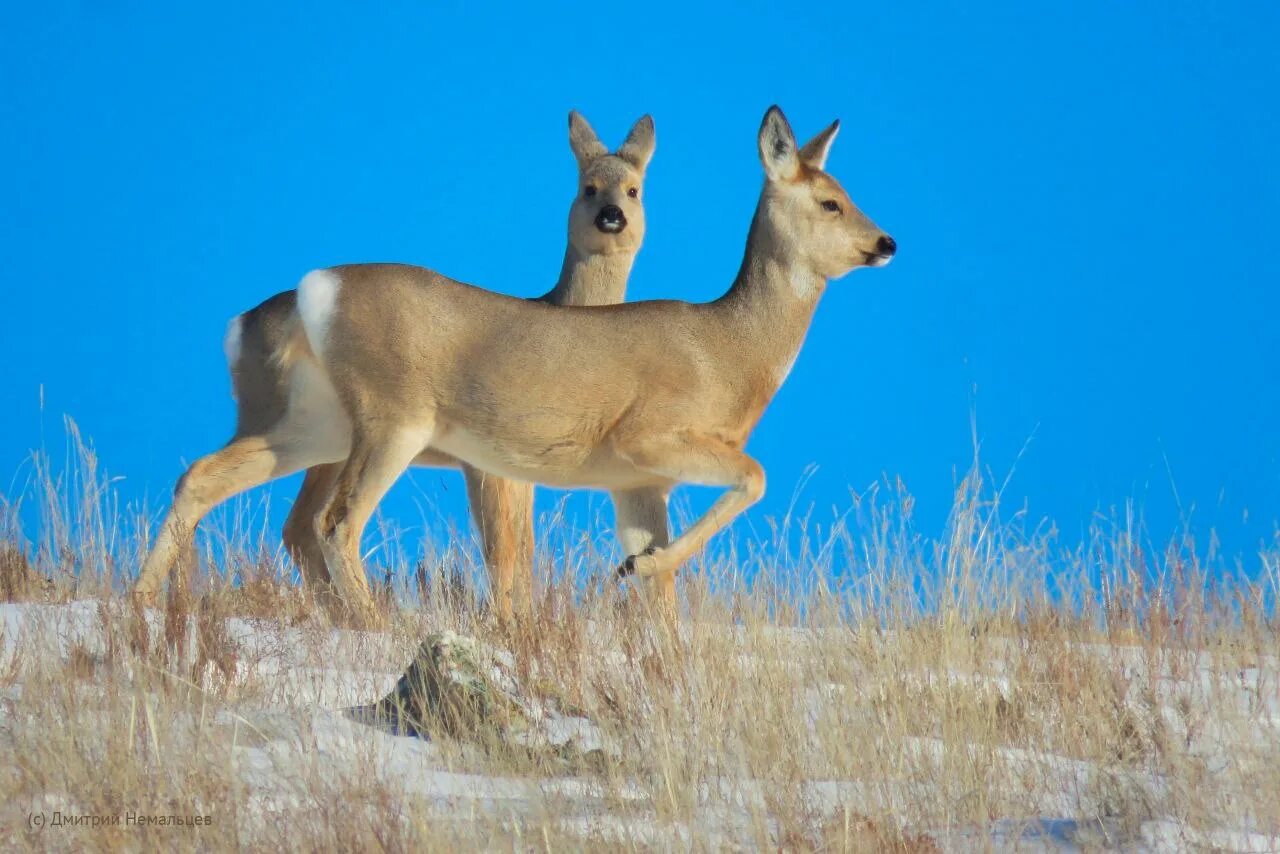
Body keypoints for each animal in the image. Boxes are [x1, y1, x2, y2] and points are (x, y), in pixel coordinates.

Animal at [132, 112, 660, 622]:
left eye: (634, 188)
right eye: (587, 186)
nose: (611, 216)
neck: (566, 308)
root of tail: (307, 296)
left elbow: (517, 548)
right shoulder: (489, 460)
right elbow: (505, 550)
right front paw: (513, 626)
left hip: (308, 426)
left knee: (217, 483)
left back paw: (143, 600)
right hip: (389, 419)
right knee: (330, 521)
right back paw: (377, 622)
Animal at [290, 108, 896, 627]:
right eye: (831, 202)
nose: (887, 242)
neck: (728, 352)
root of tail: (319, 287)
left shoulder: (639, 482)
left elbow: (664, 601)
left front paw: (647, 594)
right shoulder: (646, 433)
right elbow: (756, 476)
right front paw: (635, 565)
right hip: (395, 419)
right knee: (334, 523)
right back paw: (376, 622)